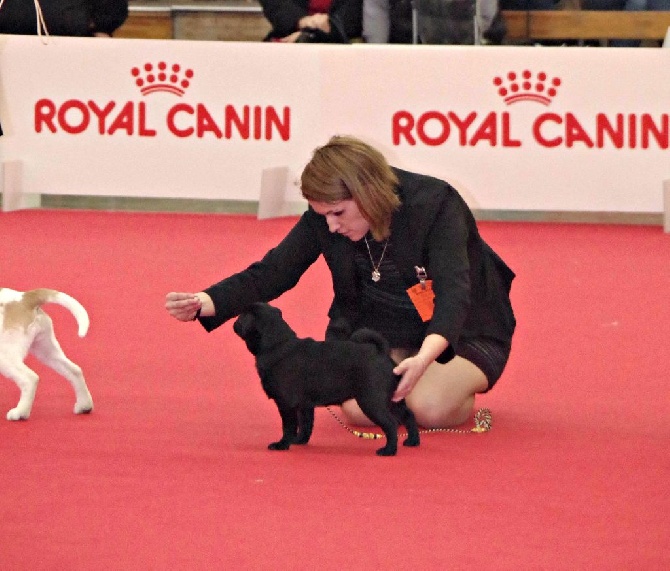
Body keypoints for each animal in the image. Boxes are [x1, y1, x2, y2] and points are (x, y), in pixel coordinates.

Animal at [0, 290, 93, 420]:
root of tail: (24, 298)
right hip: (47, 351)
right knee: (75, 370)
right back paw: (84, 405)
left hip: (6, 358)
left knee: (30, 378)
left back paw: (20, 413)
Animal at [232, 302, 420, 458]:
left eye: (241, 317)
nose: (235, 321)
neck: (277, 344)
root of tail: (380, 353)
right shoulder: (304, 405)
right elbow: (305, 424)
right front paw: (299, 440)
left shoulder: (286, 404)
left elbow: (288, 426)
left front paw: (283, 444)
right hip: (393, 399)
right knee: (408, 415)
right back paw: (412, 441)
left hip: (371, 401)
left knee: (390, 424)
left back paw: (389, 450)